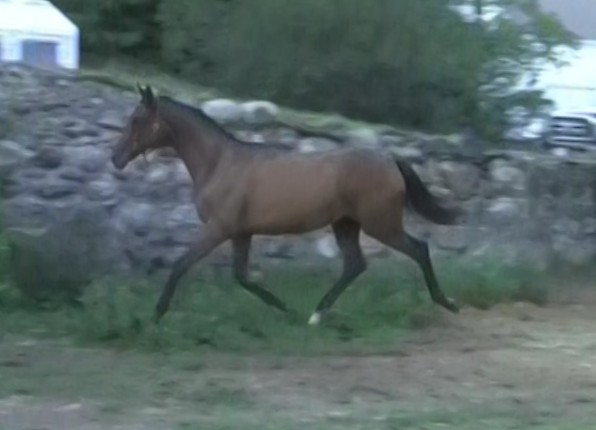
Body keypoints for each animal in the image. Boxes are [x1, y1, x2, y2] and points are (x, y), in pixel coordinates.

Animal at [112, 85, 460, 324]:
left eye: (136, 119)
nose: (115, 158)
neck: (219, 163)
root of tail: (389, 160)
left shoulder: (218, 229)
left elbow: (181, 265)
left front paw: (156, 315)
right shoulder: (241, 233)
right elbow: (241, 276)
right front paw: (284, 307)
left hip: (381, 225)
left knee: (418, 250)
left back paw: (447, 302)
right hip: (345, 224)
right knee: (355, 265)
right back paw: (316, 314)